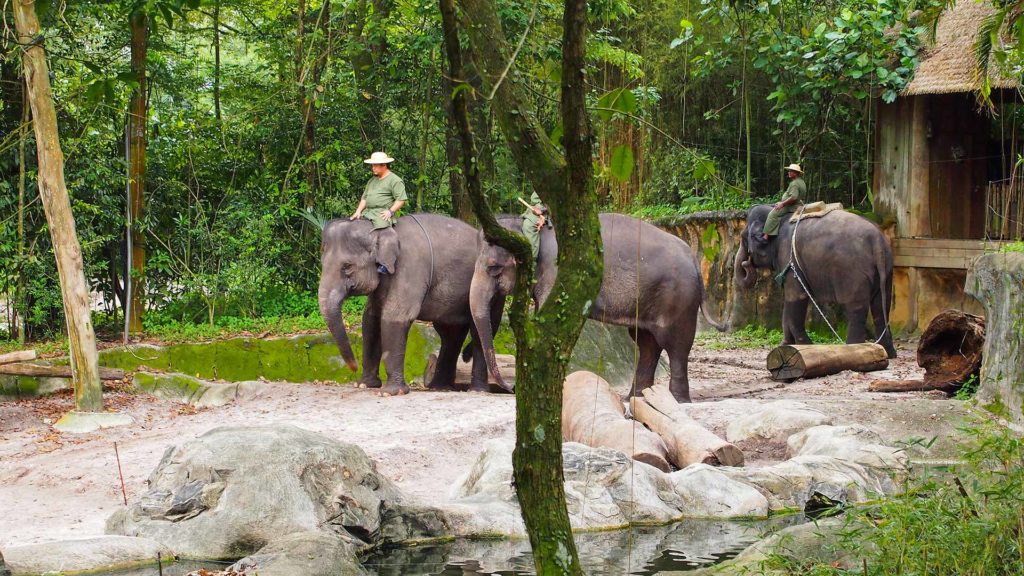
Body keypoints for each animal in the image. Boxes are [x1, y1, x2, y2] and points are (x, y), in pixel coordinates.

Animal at [319, 212, 495, 393]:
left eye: (347, 266)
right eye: (322, 263)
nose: (353, 367)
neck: (384, 231)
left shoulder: (410, 267)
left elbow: (395, 316)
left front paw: (391, 393)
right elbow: (371, 319)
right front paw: (364, 384)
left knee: (477, 331)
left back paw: (475, 390)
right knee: (450, 333)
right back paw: (440, 387)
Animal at [468, 210, 724, 399]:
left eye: (494, 269)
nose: (510, 389)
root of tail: (693, 257)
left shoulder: (557, 273)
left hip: (678, 298)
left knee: (676, 345)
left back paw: (677, 400)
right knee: (647, 343)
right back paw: (637, 398)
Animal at [737, 201, 897, 354]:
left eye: (744, 238)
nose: (746, 262)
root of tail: (877, 241)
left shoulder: (788, 255)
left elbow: (796, 296)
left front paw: (804, 345)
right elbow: (790, 299)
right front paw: (785, 345)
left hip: (854, 272)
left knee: (856, 307)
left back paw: (854, 348)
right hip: (886, 270)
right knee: (881, 305)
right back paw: (888, 352)